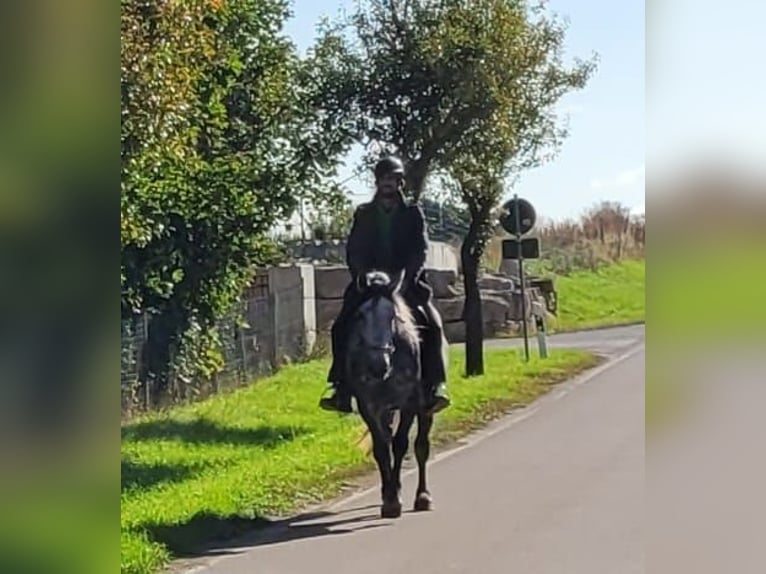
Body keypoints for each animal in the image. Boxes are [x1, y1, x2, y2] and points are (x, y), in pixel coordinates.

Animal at [344, 272, 440, 520]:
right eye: (360, 316)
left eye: (393, 316)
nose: (378, 365)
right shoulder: (369, 406)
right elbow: (381, 449)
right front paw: (389, 497)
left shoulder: (410, 404)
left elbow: (401, 444)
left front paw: (394, 502)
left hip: (425, 409)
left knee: (421, 446)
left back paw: (422, 496)